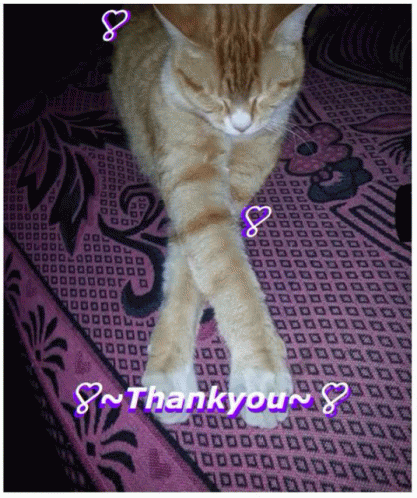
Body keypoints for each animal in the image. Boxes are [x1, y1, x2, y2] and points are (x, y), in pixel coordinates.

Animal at [110, 3, 312, 428]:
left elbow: (195, 273)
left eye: (265, 94)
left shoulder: (232, 187)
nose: (241, 124)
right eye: (212, 96)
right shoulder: (194, 186)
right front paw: (258, 369)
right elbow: (229, 277)